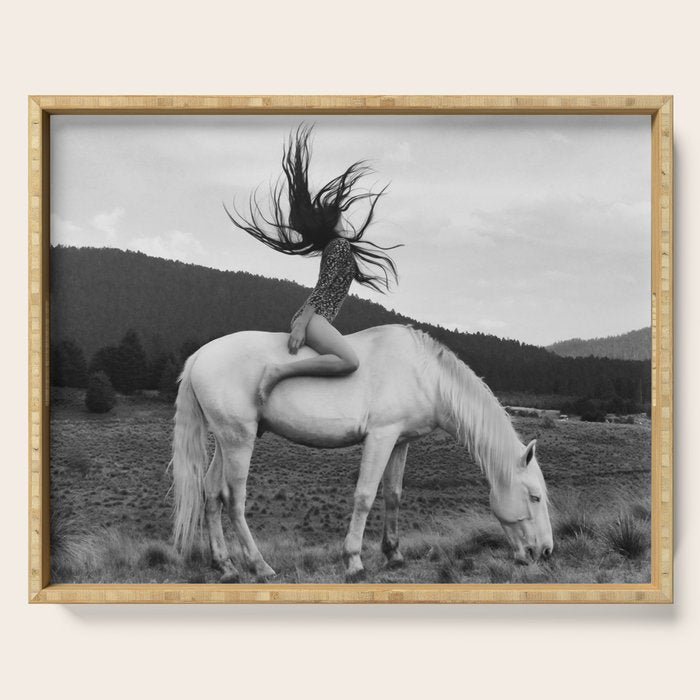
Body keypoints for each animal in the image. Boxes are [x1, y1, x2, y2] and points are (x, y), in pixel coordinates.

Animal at [170, 324, 553, 582]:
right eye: (534, 497)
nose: (545, 552)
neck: (424, 374)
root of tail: (201, 355)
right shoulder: (380, 437)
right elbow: (365, 496)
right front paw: (354, 561)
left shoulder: (400, 441)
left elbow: (393, 495)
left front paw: (394, 554)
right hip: (239, 440)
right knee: (234, 499)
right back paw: (259, 566)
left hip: (225, 440)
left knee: (211, 494)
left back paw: (225, 566)